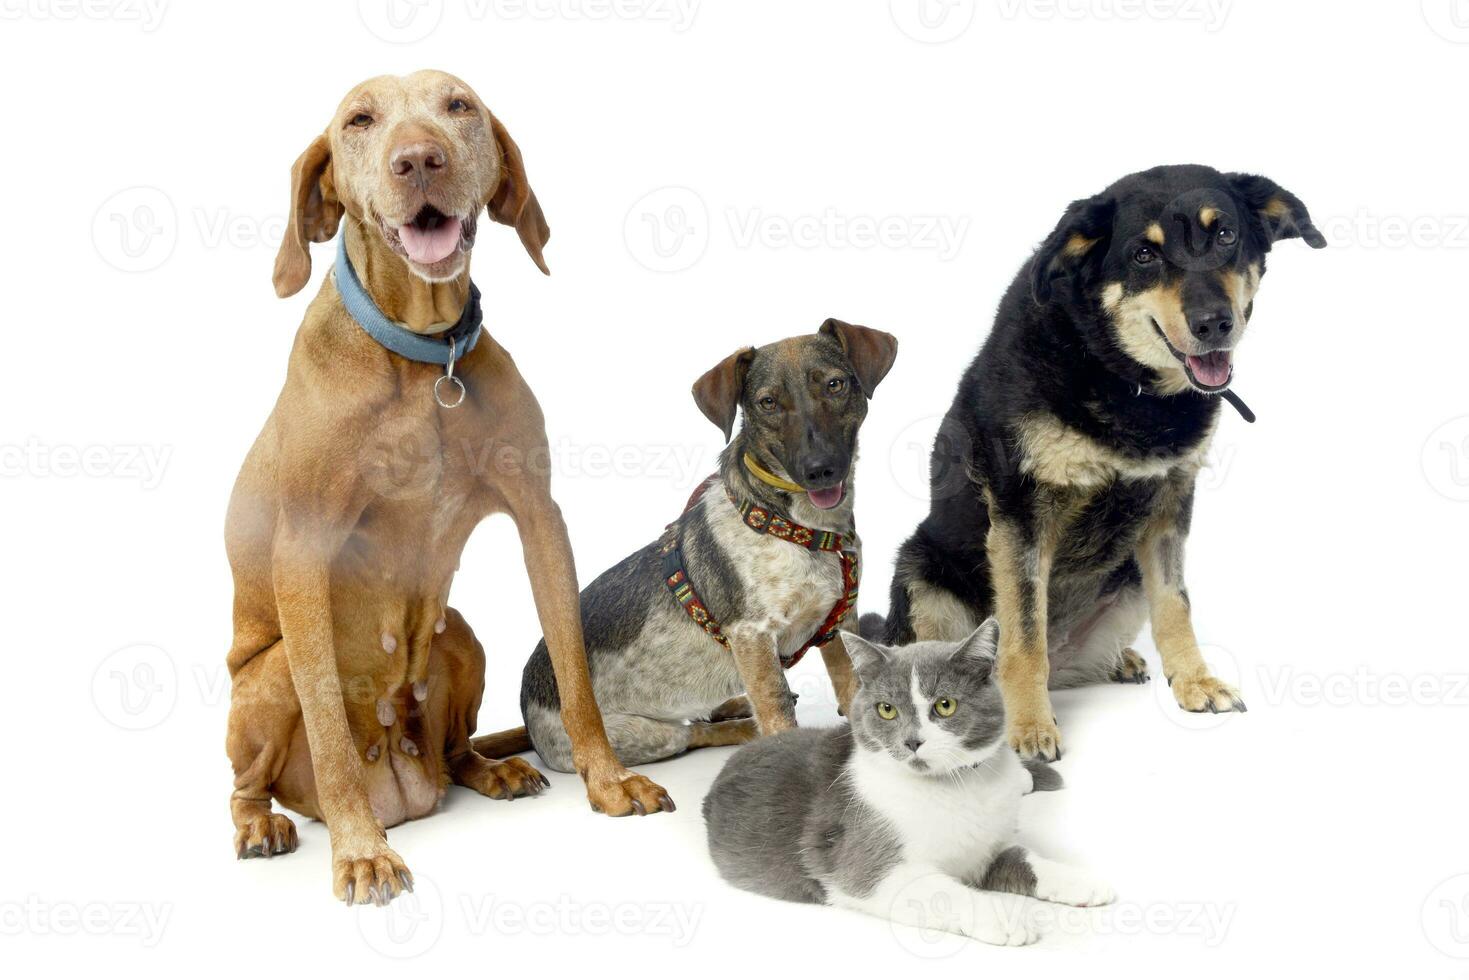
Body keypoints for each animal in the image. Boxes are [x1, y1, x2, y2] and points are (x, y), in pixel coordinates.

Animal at [226, 69, 672, 910]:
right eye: (359, 120)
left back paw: (489, 770)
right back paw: (264, 823)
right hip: (266, 682)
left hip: (458, 636)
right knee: (250, 781)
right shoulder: (302, 552)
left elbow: (574, 672)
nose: (418, 160)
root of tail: (404, 780)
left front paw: (607, 780)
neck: (422, 357)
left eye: (458, 106)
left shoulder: (539, 517)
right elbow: (328, 734)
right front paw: (359, 852)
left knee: (456, 745)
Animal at [475, 318, 899, 769]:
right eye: (767, 403)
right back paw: (742, 726)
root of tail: (527, 716)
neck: (801, 529)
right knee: (693, 733)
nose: (820, 470)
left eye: (835, 384)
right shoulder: (751, 636)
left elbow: (854, 695)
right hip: (644, 736)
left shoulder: (837, 625)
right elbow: (776, 708)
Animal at [702, 620, 1110, 952]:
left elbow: (1028, 860)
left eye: (945, 705)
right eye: (886, 710)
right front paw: (1003, 918)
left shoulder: (987, 847)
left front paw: (1082, 882)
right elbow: (946, 891)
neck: (956, 787)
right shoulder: (868, 865)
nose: (912, 741)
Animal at [863, 163, 1327, 758]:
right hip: (921, 575)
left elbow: (1176, 604)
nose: (1214, 323)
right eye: (1144, 255)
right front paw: (1030, 726)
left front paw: (1195, 681)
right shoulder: (1021, 514)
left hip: (1127, 579)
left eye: (1225, 234)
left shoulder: (1171, 500)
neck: (1119, 376)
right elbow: (1023, 636)